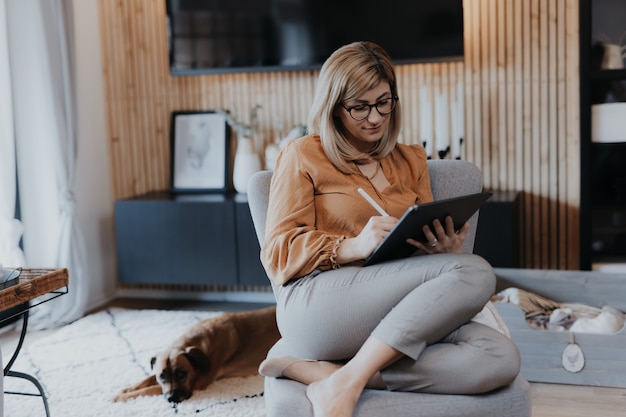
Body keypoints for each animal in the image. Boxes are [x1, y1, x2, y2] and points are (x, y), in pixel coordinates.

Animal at [113, 304, 280, 402]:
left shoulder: (198, 381)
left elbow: (153, 388)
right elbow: (149, 379)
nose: (172, 398)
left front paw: (124, 396)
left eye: (181, 374)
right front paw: (127, 389)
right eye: (162, 376)